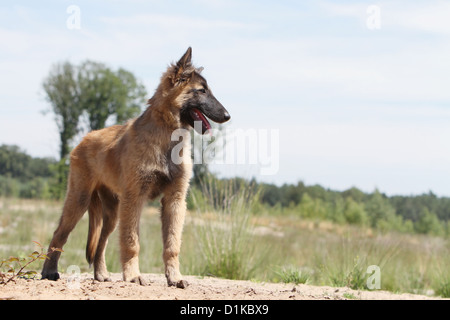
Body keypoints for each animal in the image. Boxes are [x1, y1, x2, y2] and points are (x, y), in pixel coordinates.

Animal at [41, 47, 232, 288]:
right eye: (201, 91)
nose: (227, 116)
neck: (167, 137)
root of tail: (84, 139)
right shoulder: (135, 198)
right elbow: (131, 241)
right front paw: (132, 275)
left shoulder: (175, 200)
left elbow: (172, 244)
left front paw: (174, 277)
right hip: (79, 201)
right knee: (59, 234)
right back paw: (49, 271)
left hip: (112, 214)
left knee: (101, 243)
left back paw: (100, 274)